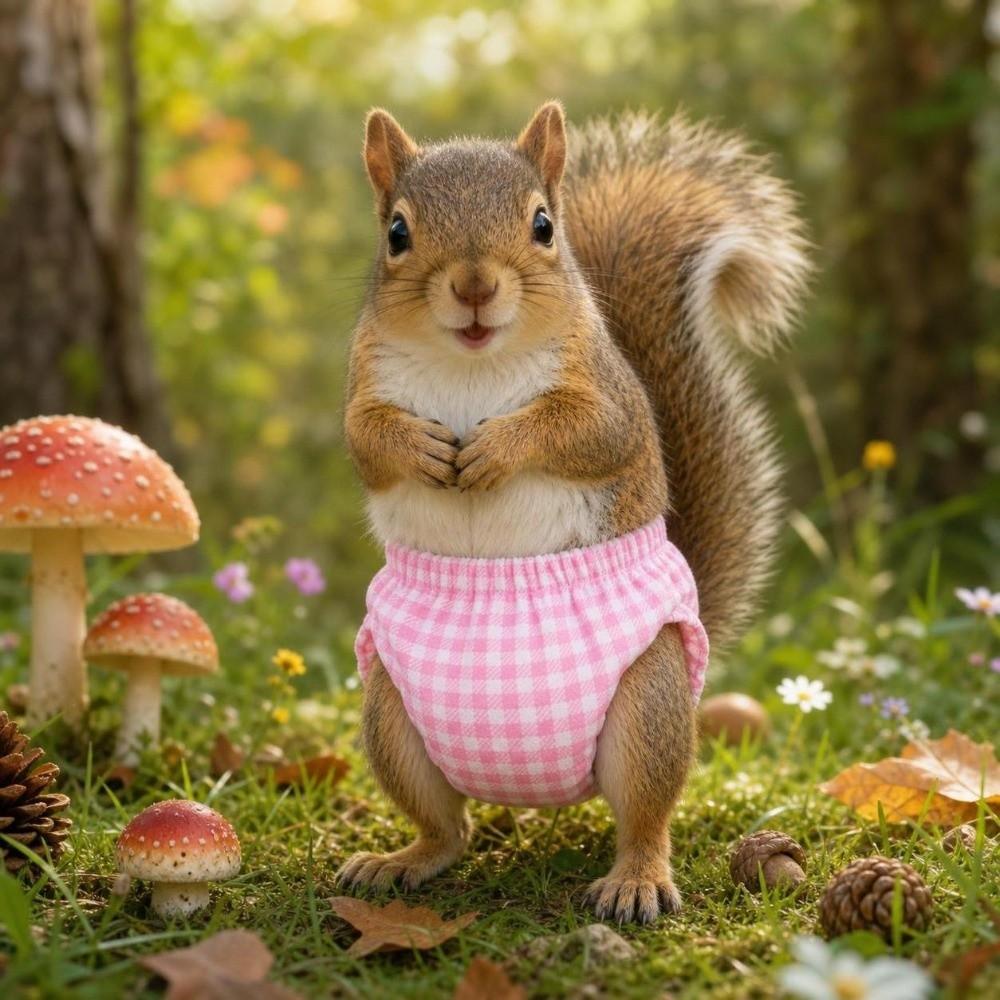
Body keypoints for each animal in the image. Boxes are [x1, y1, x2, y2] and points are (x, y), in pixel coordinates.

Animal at [340, 102, 810, 923]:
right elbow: (365, 441)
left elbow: (587, 433)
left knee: (647, 816)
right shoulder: (362, 383)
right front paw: (416, 446)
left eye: (542, 226)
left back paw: (637, 879)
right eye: (396, 232)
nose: (473, 286)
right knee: (447, 829)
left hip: (648, 701)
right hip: (391, 717)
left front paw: (498, 447)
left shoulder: (607, 396)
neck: (472, 363)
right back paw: (401, 860)